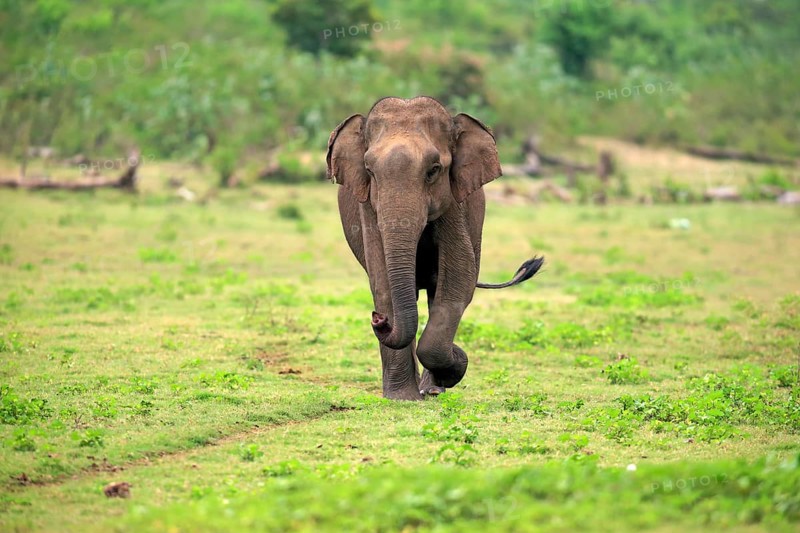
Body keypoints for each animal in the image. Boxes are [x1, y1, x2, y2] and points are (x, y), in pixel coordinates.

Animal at [326, 96, 543, 400]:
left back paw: (432, 388)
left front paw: (455, 364)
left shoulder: (455, 202)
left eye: (434, 170)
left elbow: (459, 279)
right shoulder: (367, 206)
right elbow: (382, 282)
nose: (377, 320)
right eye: (369, 172)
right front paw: (402, 398)